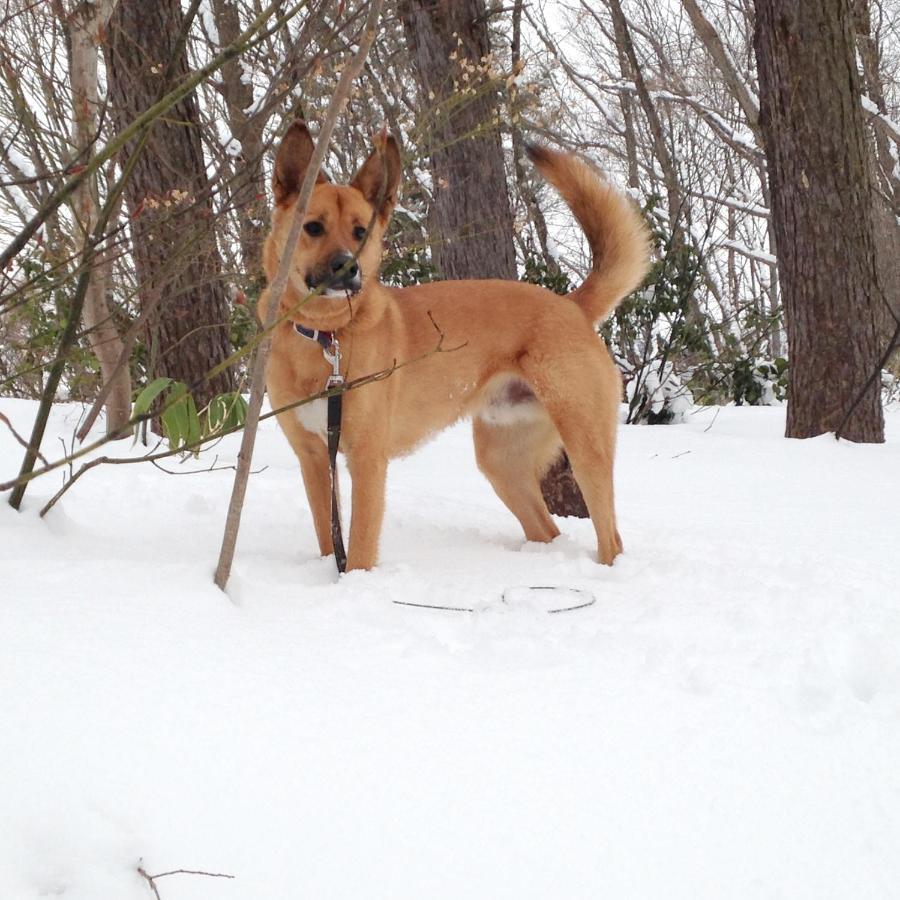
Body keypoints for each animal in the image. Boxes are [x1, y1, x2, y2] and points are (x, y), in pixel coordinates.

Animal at [258, 121, 648, 568]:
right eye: (313, 227)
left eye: (360, 232)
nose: (348, 267)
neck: (326, 337)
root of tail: (571, 305)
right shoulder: (313, 458)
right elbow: (329, 537)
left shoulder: (366, 459)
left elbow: (357, 548)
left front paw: (353, 579)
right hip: (502, 462)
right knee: (547, 529)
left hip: (586, 450)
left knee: (611, 538)